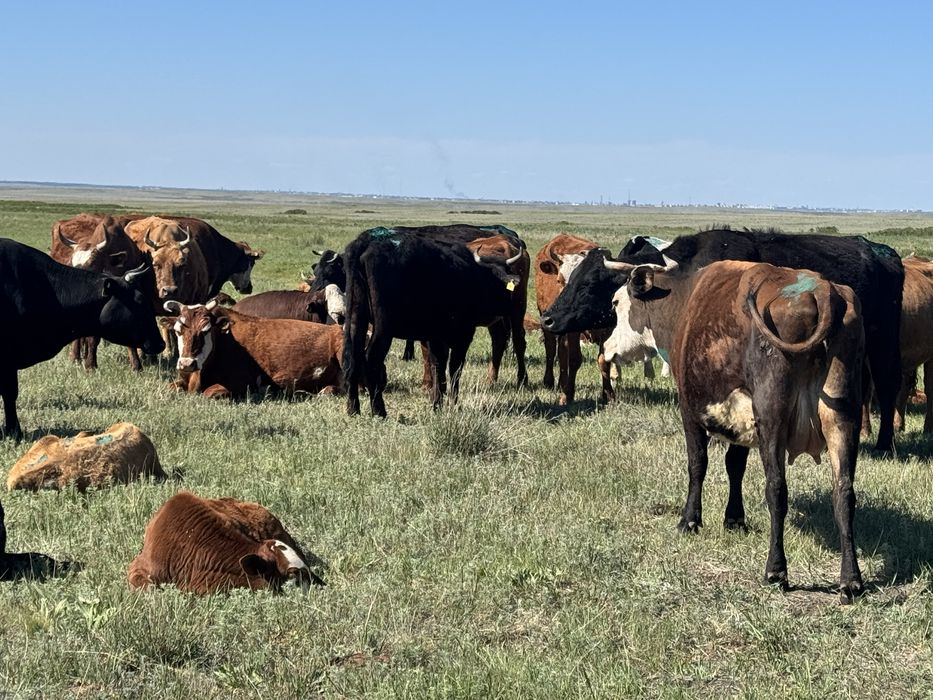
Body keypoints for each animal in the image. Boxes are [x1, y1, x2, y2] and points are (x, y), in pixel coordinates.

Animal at [163, 300, 344, 398]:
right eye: (178, 330)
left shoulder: (241, 383)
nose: (187, 363)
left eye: (205, 330)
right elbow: (170, 387)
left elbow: (209, 393)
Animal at [342, 228, 524, 417]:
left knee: (352, 358)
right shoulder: (464, 335)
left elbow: (438, 366)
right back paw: (379, 410)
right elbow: (454, 367)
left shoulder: (436, 337)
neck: (471, 276)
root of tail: (364, 242)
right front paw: (453, 403)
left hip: (356, 319)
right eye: (501, 283)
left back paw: (353, 408)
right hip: (383, 328)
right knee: (371, 359)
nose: (512, 304)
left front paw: (438, 403)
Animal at [541, 228, 904, 454]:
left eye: (590, 283)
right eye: (568, 278)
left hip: (884, 343)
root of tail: (883, 252)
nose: (548, 318)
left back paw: (884, 444)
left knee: (887, 387)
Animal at [603, 259, 864, 596]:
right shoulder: (742, 422)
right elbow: (734, 466)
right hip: (843, 419)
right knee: (844, 492)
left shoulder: (689, 408)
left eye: (616, 303)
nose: (607, 348)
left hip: (773, 416)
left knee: (777, 488)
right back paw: (851, 579)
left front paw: (690, 520)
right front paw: (735, 519)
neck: (685, 301)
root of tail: (821, 290)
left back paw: (775, 570)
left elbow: (697, 465)